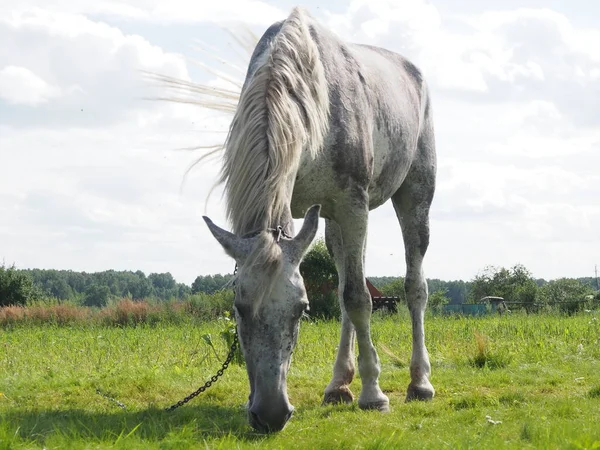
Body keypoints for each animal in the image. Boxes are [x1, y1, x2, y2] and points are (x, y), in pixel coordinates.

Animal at [203, 7, 436, 432]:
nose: (270, 414)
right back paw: (338, 385)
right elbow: (347, 294)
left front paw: (374, 395)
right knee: (345, 282)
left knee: (414, 286)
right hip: (332, 224)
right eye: (239, 308)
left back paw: (419, 383)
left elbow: (359, 297)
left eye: (302, 309)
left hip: (414, 199)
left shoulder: (352, 204)